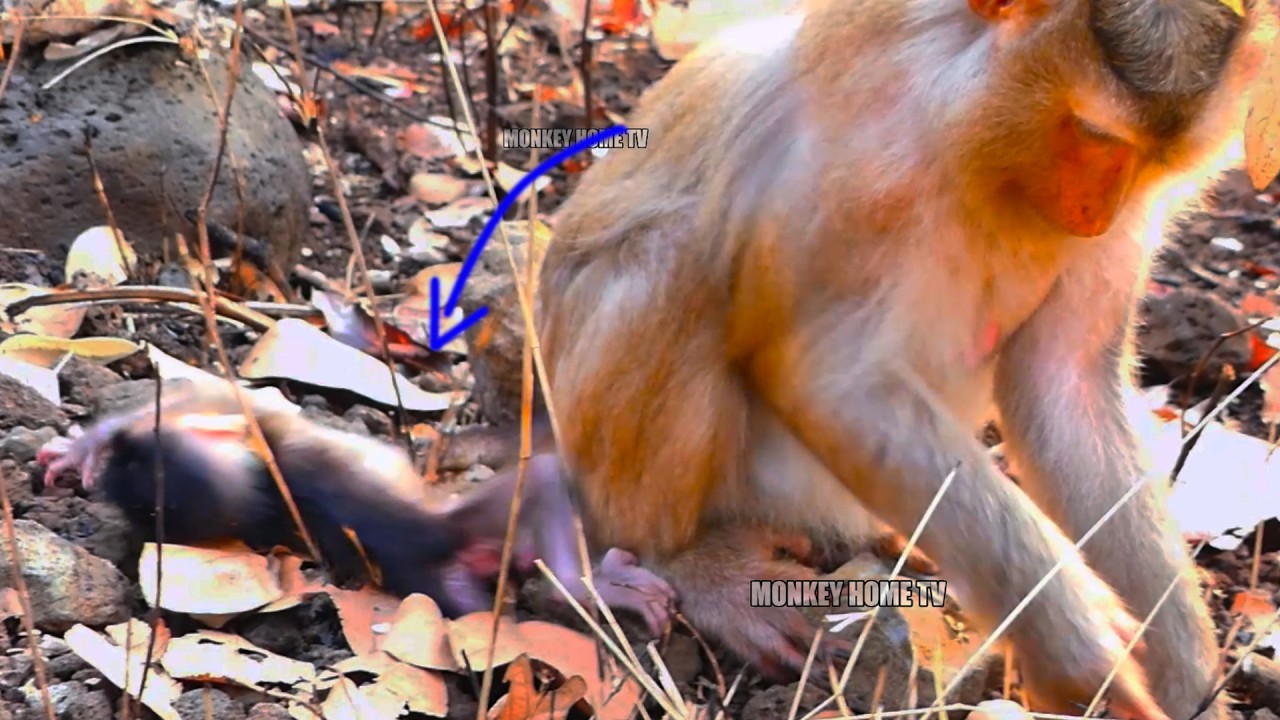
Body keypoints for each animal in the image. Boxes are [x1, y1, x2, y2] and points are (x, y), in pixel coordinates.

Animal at [36, 378, 675, 633]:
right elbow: (221, 395)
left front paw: (86, 448)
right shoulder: (257, 429)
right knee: (542, 479)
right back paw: (594, 586)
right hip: (483, 522)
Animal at [531, 0, 1275, 716]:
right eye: (1095, 135)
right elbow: (831, 378)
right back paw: (689, 563)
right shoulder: (869, 158)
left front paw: (1184, 674)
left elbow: (1067, 384)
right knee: (676, 250)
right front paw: (1070, 641)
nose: (1092, 214)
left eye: (1152, 161)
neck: (981, 138)